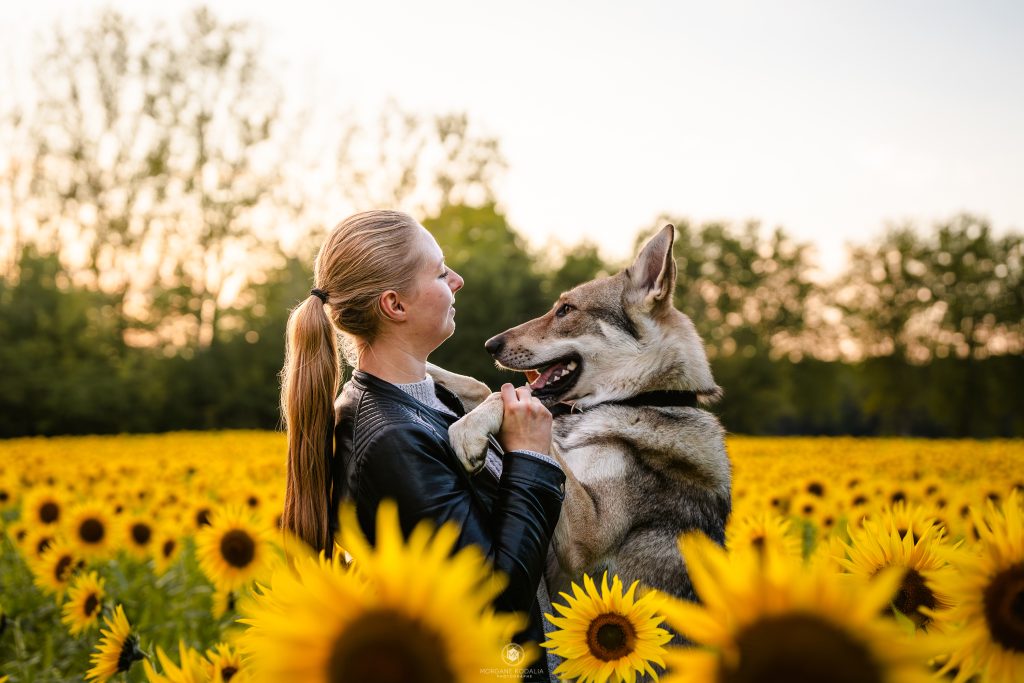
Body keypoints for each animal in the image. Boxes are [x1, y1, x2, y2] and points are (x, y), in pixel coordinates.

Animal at [427, 224, 731, 615]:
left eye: (566, 310)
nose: (490, 345)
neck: (637, 399)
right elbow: (482, 386)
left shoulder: (586, 537)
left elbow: (504, 398)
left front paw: (468, 432)